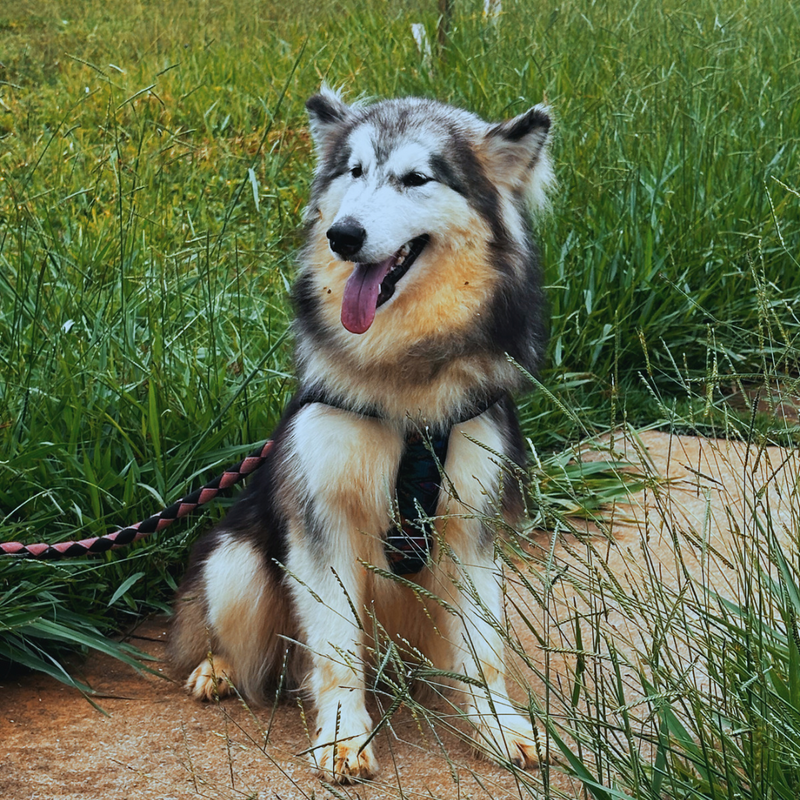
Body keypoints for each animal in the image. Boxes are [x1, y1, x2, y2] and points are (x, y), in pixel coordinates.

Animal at [169, 89, 552, 780]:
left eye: (417, 178)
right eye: (353, 170)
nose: (342, 235)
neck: (404, 384)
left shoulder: (469, 525)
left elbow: (484, 648)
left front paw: (498, 725)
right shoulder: (324, 522)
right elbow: (336, 650)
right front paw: (344, 735)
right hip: (237, 561)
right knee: (254, 648)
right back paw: (218, 669)